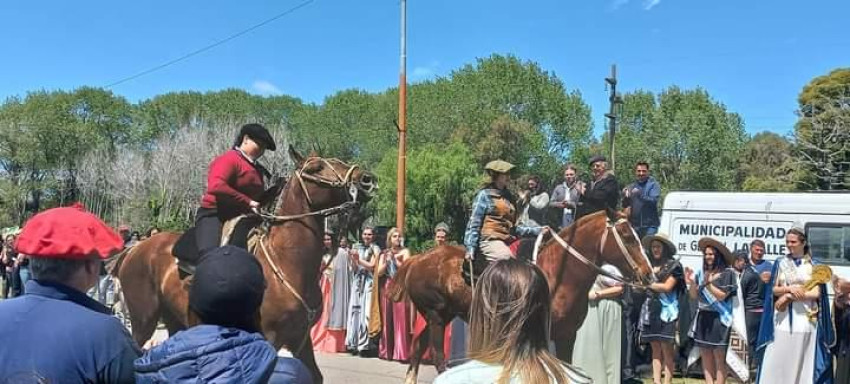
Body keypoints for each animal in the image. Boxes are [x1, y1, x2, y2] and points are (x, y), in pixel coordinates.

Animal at [111, 146, 376, 382]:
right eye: (316, 168)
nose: (366, 179)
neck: (286, 263)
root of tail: (134, 249)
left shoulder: (301, 338)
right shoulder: (268, 337)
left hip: (174, 319)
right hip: (144, 318)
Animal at [388, 212, 652, 384]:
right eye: (627, 236)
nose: (648, 274)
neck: (558, 274)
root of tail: (417, 259)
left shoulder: (567, 335)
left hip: (438, 316)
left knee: (417, 348)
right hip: (436, 316)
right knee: (436, 355)